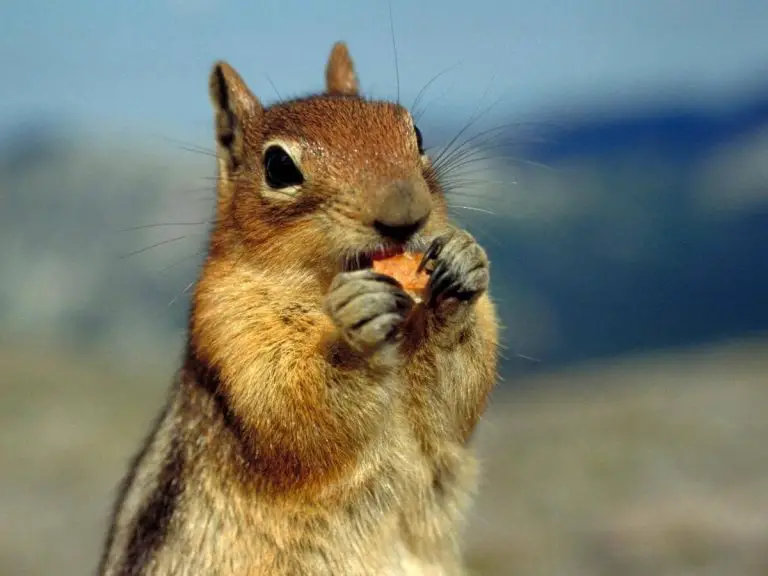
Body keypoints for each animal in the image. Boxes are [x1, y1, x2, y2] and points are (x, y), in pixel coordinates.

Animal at [98, 41, 499, 575]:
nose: (405, 214)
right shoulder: (231, 333)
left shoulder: (442, 428)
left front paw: (462, 267)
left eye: (414, 132)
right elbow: (295, 408)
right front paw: (355, 332)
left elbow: (454, 401)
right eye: (279, 167)